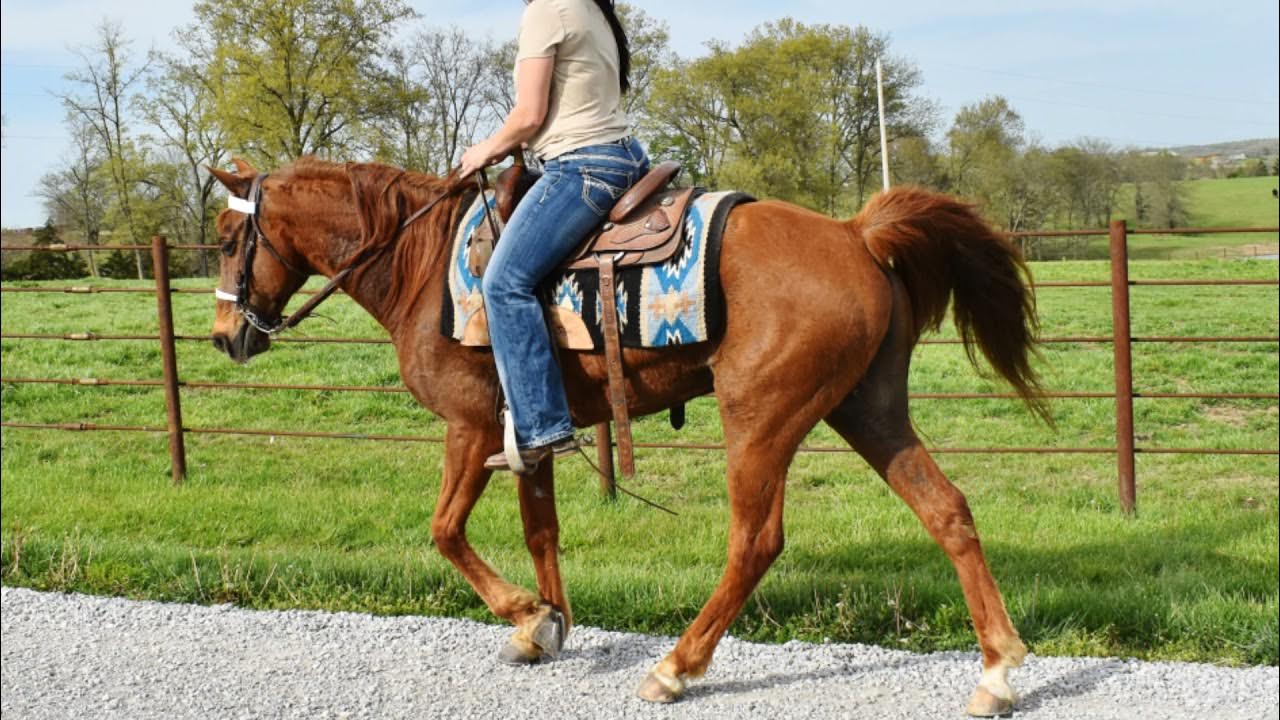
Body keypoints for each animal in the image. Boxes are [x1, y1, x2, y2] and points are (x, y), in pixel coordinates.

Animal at [207, 156, 1046, 716]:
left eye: (223, 238)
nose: (222, 337)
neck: (420, 264)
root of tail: (856, 233)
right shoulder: (526, 432)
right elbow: (540, 529)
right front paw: (544, 625)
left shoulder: (470, 426)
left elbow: (445, 530)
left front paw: (527, 616)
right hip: (870, 411)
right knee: (947, 511)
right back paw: (997, 672)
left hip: (761, 417)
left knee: (755, 540)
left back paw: (676, 666)